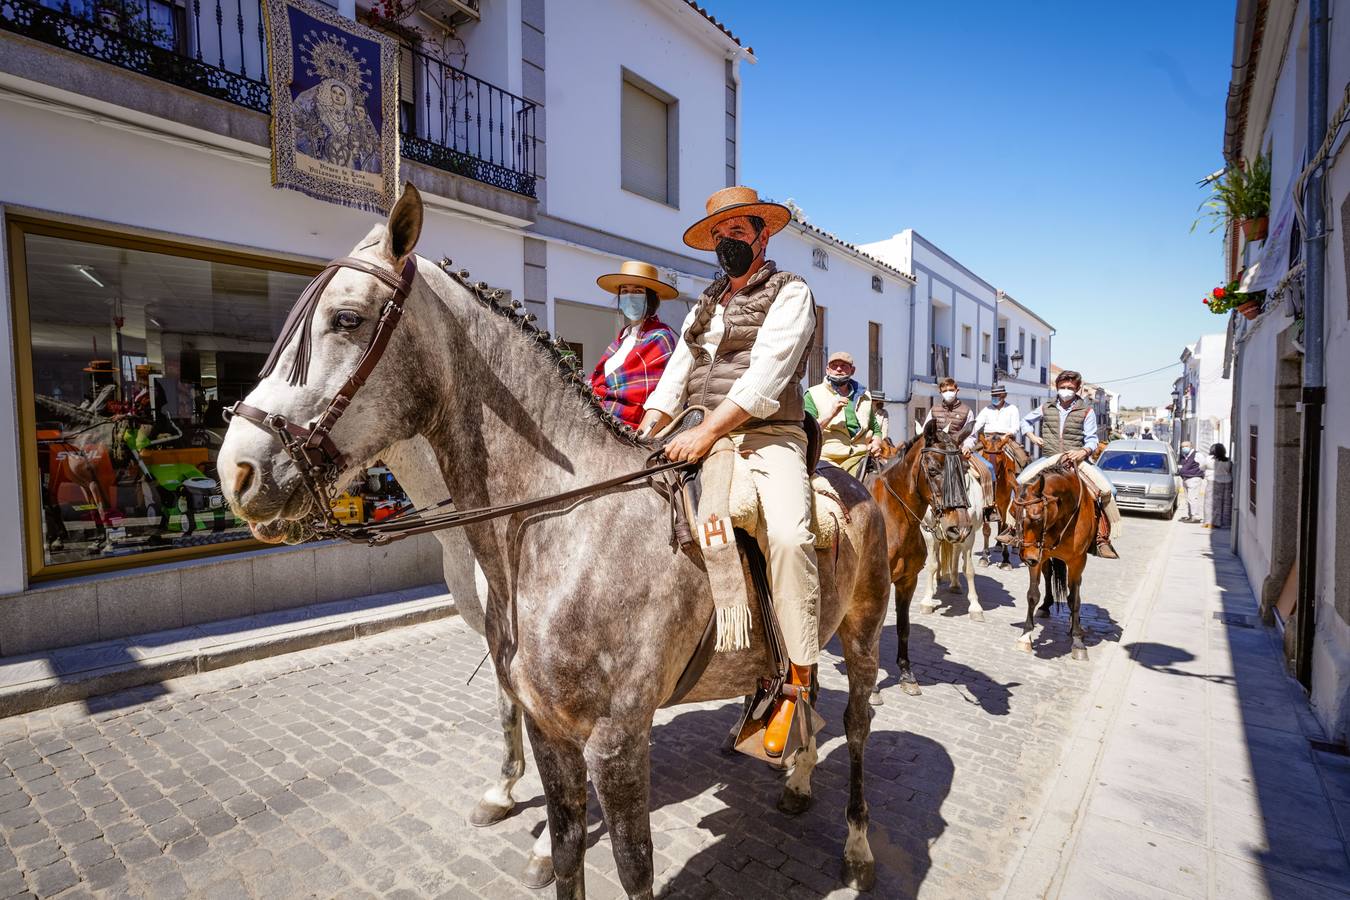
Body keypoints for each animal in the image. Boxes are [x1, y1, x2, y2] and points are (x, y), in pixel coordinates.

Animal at [218, 186, 896, 895]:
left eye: (346, 319)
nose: (237, 469)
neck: (564, 526)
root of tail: (851, 481)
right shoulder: (549, 730)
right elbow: (568, 845)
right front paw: (532, 832)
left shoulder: (618, 742)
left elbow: (631, 867)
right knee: (805, 690)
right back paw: (795, 773)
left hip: (862, 634)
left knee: (856, 727)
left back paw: (856, 846)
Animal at [869, 423, 977, 696]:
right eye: (934, 470)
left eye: (963, 468)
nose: (959, 528)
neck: (892, 520)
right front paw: (872, 687)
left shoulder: (907, 582)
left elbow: (904, 627)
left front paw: (907, 674)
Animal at [1015, 464, 1096, 661]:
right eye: (1015, 514)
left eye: (1036, 518)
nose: (1026, 557)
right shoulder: (1038, 556)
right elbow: (1032, 595)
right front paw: (1026, 636)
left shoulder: (1077, 561)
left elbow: (1074, 600)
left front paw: (1077, 640)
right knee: (1048, 574)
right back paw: (1046, 606)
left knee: (1075, 588)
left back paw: (1076, 625)